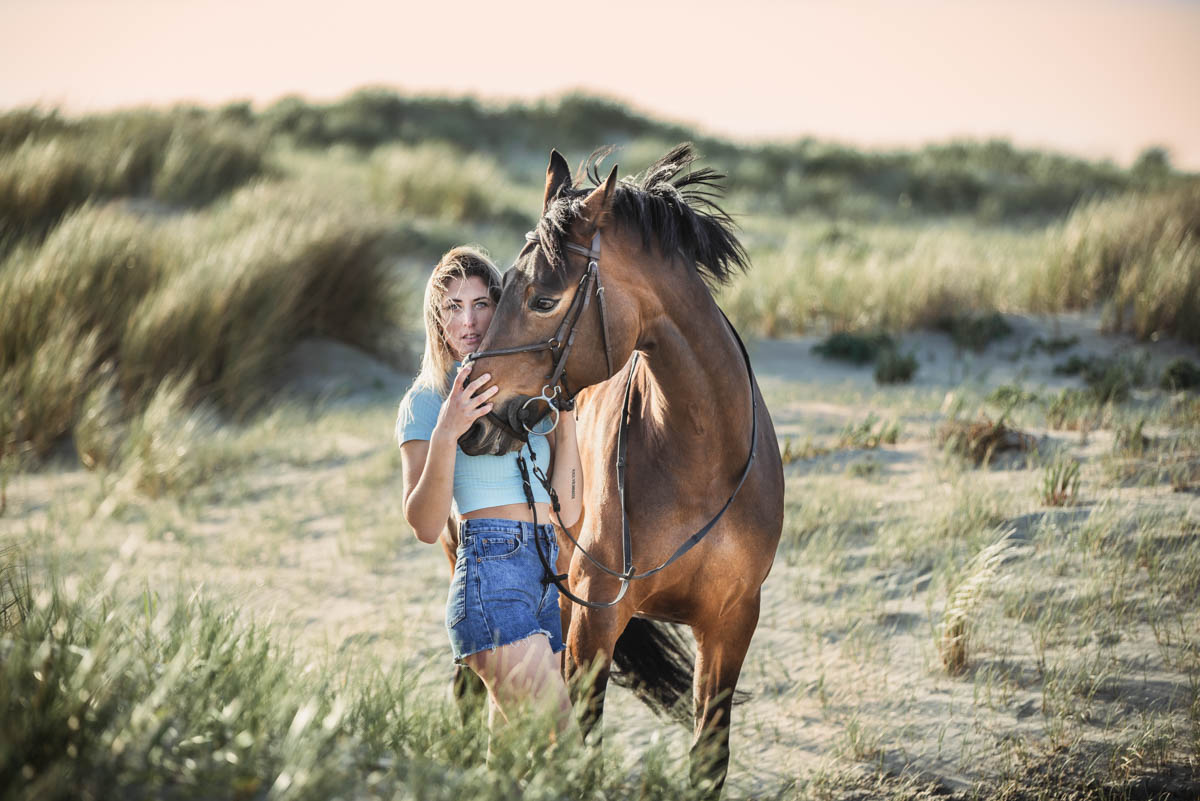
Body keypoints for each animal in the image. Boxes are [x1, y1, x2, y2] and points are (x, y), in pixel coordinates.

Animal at [453, 143, 782, 796]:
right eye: (497, 293)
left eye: (543, 299)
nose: (473, 423)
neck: (698, 462)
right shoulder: (595, 619)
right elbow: (582, 746)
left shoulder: (731, 624)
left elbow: (709, 762)